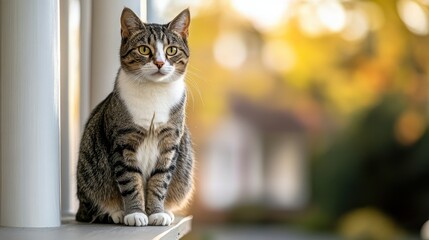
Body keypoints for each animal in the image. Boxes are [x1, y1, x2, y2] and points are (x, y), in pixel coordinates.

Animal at [75, 7, 192, 227]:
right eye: (144, 49)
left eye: (171, 50)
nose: (159, 62)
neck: (154, 92)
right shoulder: (123, 142)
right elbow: (130, 181)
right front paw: (136, 213)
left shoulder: (169, 143)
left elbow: (159, 181)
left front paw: (156, 212)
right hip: (88, 179)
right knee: (91, 210)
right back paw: (117, 213)